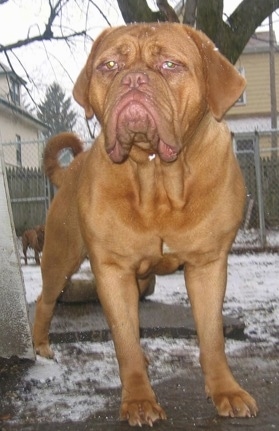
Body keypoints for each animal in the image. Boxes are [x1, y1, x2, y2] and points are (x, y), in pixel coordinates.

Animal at [34, 24, 260, 428]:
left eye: (170, 65)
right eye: (108, 65)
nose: (134, 79)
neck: (156, 175)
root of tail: (69, 170)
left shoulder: (208, 264)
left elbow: (212, 336)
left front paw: (226, 391)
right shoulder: (112, 270)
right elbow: (124, 340)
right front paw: (139, 400)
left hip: (137, 278)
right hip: (61, 259)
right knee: (46, 302)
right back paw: (41, 348)